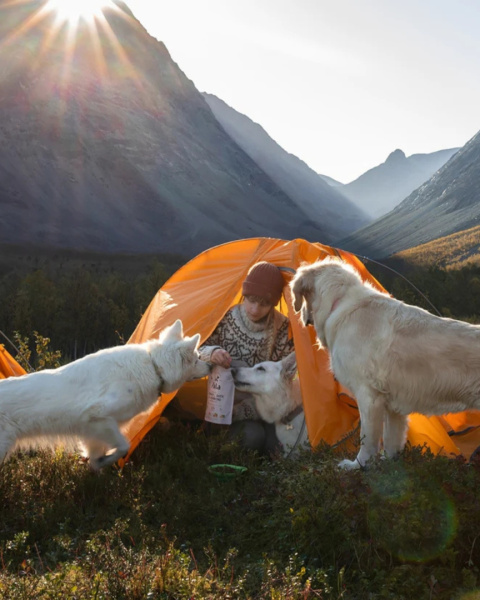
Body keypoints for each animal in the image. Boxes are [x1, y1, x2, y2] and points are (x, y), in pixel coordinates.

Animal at [0, 322, 210, 472]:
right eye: (198, 358)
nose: (210, 366)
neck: (154, 366)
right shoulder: (98, 417)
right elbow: (124, 446)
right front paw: (107, 461)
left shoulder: (94, 429)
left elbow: (96, 455)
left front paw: (96, 468)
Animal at [290, 256, 480, 468]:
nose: (301, 316)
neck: (340, 302)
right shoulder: (393, 407)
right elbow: (391, 441)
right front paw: (388, 463)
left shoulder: (368, 396)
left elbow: (367, 440)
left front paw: (358, 465)